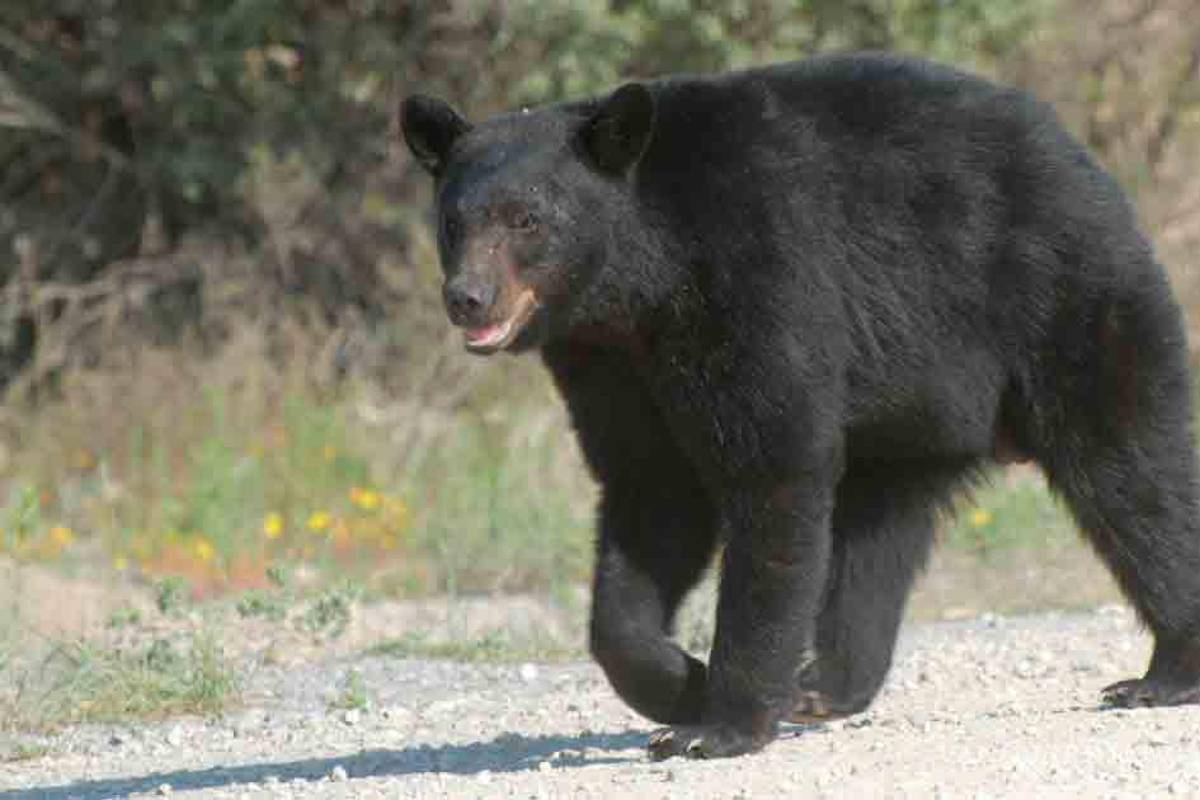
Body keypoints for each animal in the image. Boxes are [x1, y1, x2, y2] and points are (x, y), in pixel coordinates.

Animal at [400, 52, 1200, 759]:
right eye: (454, 221)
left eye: (527, 219)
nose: (468, 297)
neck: (640, 285)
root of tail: (1081, 156)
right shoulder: (610, 366)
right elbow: (648, 493)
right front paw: (679, 682)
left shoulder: (755, 278)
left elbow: (772, 472)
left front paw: (717, 726)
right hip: (909, 411)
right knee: (874, 538)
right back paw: (827, 685)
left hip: (1063, 303)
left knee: (1131, 473)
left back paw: (1164, 673)